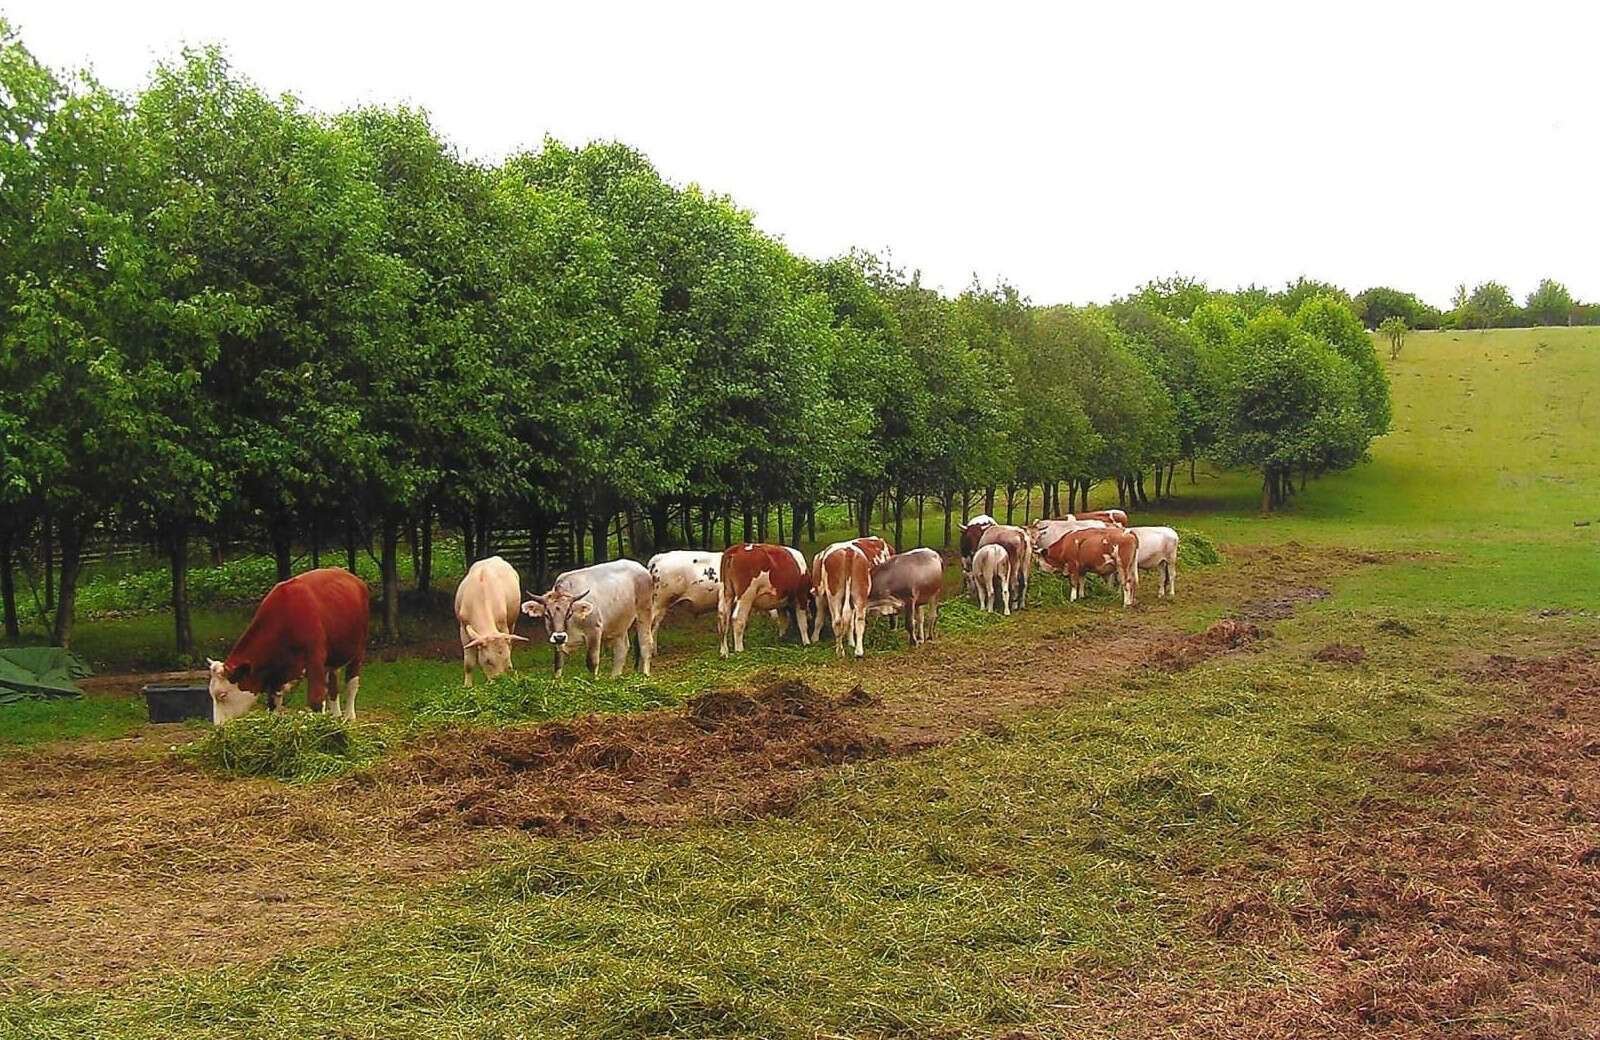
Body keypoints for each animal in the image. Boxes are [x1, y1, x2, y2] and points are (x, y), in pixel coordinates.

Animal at [203, 566, 368, 720]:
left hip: (358, 649)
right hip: (333, 658)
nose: (219, 727)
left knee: (352, 684)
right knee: (333, 687)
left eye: (223, 695)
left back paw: (349, 716)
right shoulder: (276, 673)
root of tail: (350, 576)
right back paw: (336, 716)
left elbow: (316, 700)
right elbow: (273, 703)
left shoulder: (315, 660)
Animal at [454, 553, 528, 684]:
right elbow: (468, 663)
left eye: (506, 660)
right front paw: (467, 685)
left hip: (512, 622)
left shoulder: (503, 625)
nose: (498, 681)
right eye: (488, 661)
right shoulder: (463, 628)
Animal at [521, 553, 652, 675]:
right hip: (619, 622)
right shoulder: (555, 639)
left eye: (569, 612)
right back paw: (615, 677)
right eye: (547, 614)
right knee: (621, 649)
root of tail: (640, 567)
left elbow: (592, 663)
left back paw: (645, 674)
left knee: (645, 643)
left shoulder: (594, 631)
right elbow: (558, 664)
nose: (560, 637)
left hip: (644, 611)